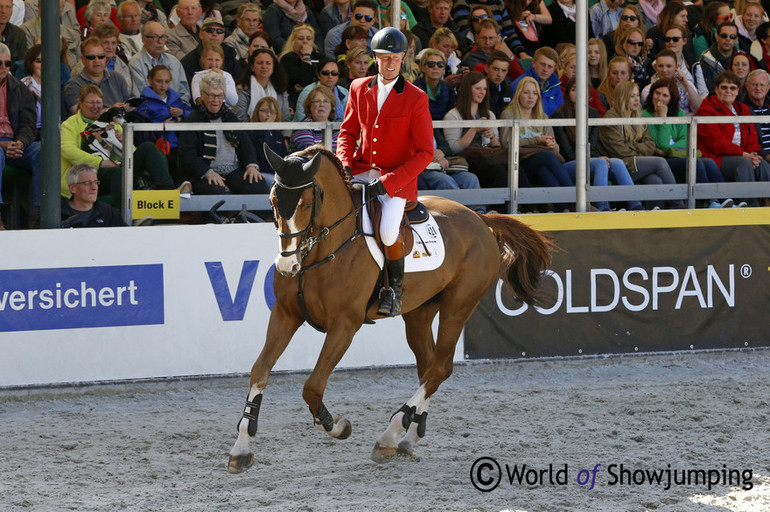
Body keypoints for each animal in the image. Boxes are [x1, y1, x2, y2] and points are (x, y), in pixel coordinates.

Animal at [225, 146, 548, 474]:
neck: (319, 251)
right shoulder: (286, 314)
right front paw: (241, 448)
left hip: (459, 305)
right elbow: (260, 370)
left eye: (305, 205)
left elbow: (312, 386)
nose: (286, 265)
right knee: (430, 367)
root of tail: (481, 219)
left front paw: (337, 426)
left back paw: (390, 434)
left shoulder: (345, 325)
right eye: (273, 202)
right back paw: (408, 438)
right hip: (419, 314)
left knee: (439, 368)